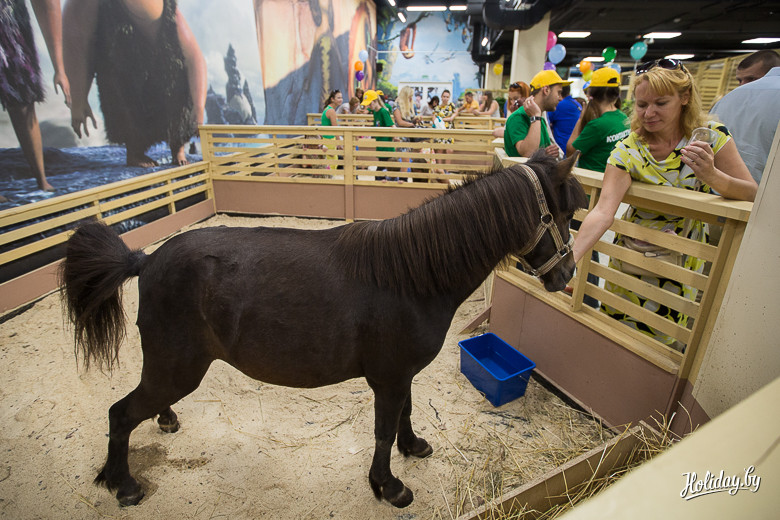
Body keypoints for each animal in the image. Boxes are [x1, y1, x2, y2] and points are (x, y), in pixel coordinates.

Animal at [60, 150, 587, 508]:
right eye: (565, 215)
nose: (567, 275)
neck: (411, 276)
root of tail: (145, 260)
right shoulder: (388, 379)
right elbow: (381, 431)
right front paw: (388, 486)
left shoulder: (401, 376)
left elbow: (405, 415)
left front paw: (413, 446)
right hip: (178, 369)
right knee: (119, 415)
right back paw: (123, 484)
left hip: (170, 369)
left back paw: (164, 420)